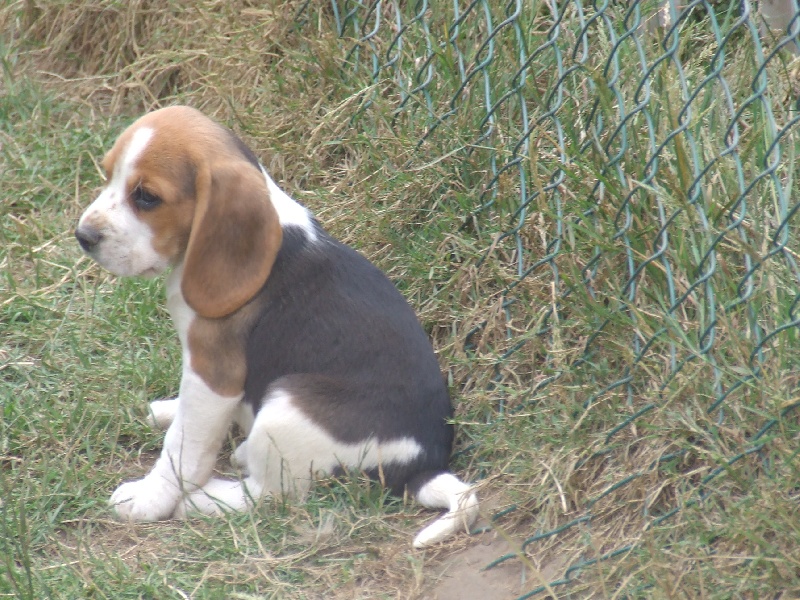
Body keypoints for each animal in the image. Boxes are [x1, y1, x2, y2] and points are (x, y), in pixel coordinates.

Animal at [75, 106, 478, 547]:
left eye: (147, 197)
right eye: (107, 174)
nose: (83, 236)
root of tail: (421, 468)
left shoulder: (214, 374)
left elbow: (182, 446)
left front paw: (150, 498)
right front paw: (170, 409)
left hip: (287, 403)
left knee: (269, 496)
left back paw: (205, 500)